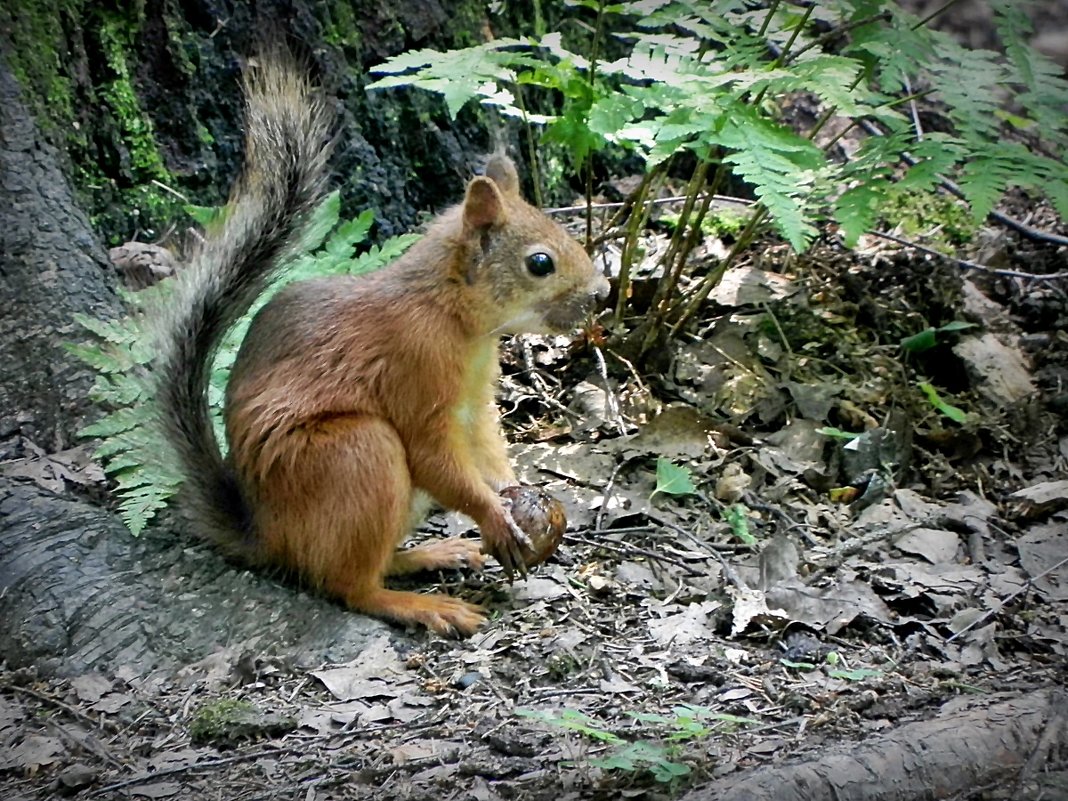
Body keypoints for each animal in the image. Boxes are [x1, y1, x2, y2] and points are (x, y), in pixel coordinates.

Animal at [155, 55, 615, 640]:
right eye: (540, 262)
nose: (602, 293)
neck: (453, 317)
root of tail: (266, 535)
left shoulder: (476, 403)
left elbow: (488, 446)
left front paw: (514, 490)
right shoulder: (413, 369)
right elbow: (434, 457)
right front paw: (494, 515)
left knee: (371, 563)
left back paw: (432, 555)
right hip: (356, 455)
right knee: (349, 585)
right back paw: (419, 604)